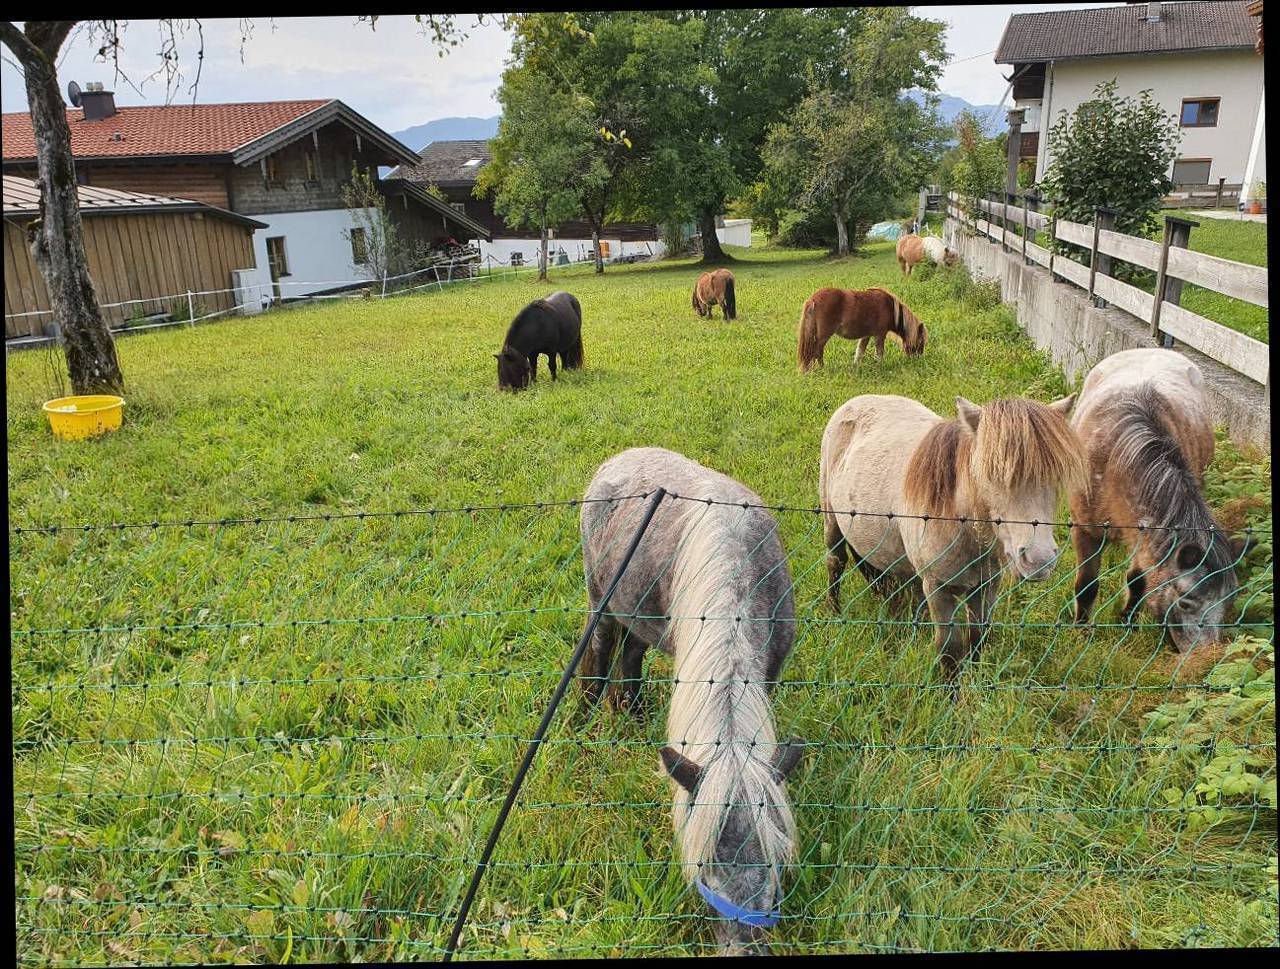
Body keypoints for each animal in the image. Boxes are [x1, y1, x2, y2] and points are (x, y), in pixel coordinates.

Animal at [581, 450, 798, 957]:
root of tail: (618, 458)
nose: (742, 948)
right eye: (703, 868)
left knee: (632, 656)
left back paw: (633, 711)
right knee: (601, 654)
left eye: (775, 862)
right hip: (601, 600)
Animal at [793, 285, 926, 371]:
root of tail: (813, 299)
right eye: (921, 342)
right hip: (824, 335)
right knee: (817, 351)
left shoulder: (866, 336)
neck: (891, 308)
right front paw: (880, 366)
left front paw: (856, 366)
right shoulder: (880, 335)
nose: (918, 359)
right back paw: (821, 368)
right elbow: (880, 352)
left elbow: (860, 352)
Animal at [824, 389, 1085, 675]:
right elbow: (949, 651)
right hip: (831, 520)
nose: (1039, 560)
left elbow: (977, 638)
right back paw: (835, 612)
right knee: (836, 561)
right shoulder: (938, 589)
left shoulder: (986, 586)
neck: (958, 522)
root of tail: (858, 400)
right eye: (991, 475)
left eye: (1055, 477)